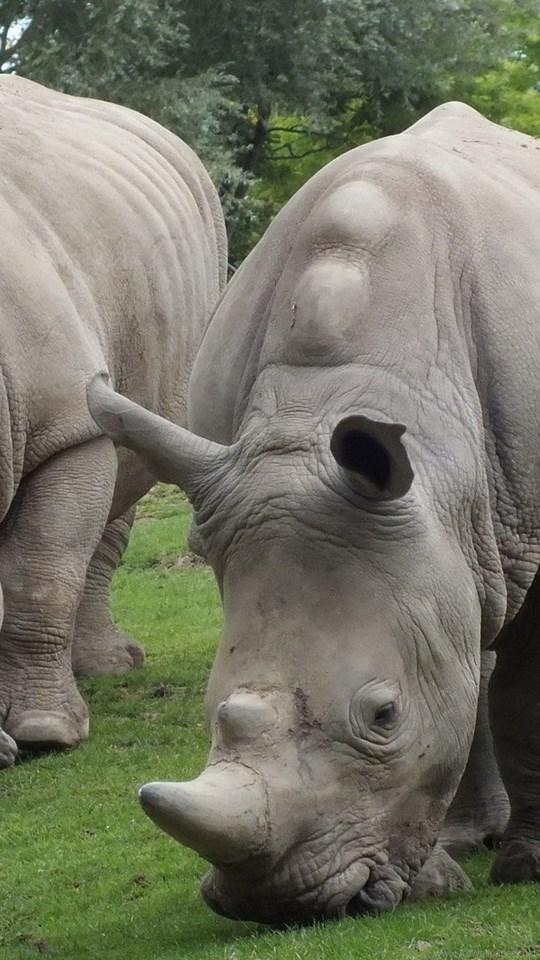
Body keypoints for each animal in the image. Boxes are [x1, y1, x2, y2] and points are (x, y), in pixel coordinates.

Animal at [88, 102, 538, 924]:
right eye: (212, 712)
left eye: (385, 716)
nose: (278, 905)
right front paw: (437, 876)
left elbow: (524, 694)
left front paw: (525, 868)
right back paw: (462, 842)